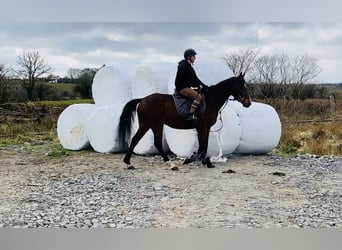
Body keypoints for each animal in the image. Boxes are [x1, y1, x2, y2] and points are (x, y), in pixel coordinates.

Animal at [117, 72, 251, 170]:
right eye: (241, 86)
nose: (248, 103)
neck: (211, 100)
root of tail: (143, 99)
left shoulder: (204, 128)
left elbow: (203, 144)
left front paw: (200, 160)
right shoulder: (203, 127)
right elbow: (203, 145)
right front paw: (199, 160)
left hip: (152, 125)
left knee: (145, 141)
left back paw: (130, 163)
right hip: (151, 124)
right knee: (145, 141)